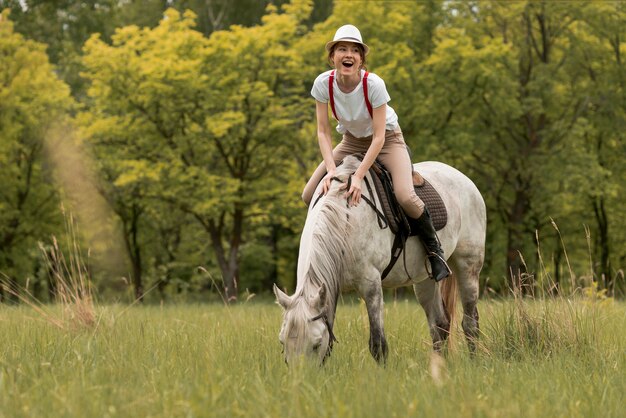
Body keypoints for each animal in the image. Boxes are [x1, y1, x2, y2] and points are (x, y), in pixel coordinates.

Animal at [276, 155, 486, 364]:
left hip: (468, 266)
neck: (345, 219)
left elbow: (378, 344)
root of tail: (464, 179)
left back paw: (473, 362)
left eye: (316, 343)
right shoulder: (331, 287)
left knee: (470, 322)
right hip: (425, 279)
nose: (301, 374)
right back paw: (439, 366)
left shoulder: (371, 285)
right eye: (282, 342)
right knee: (439, 325)